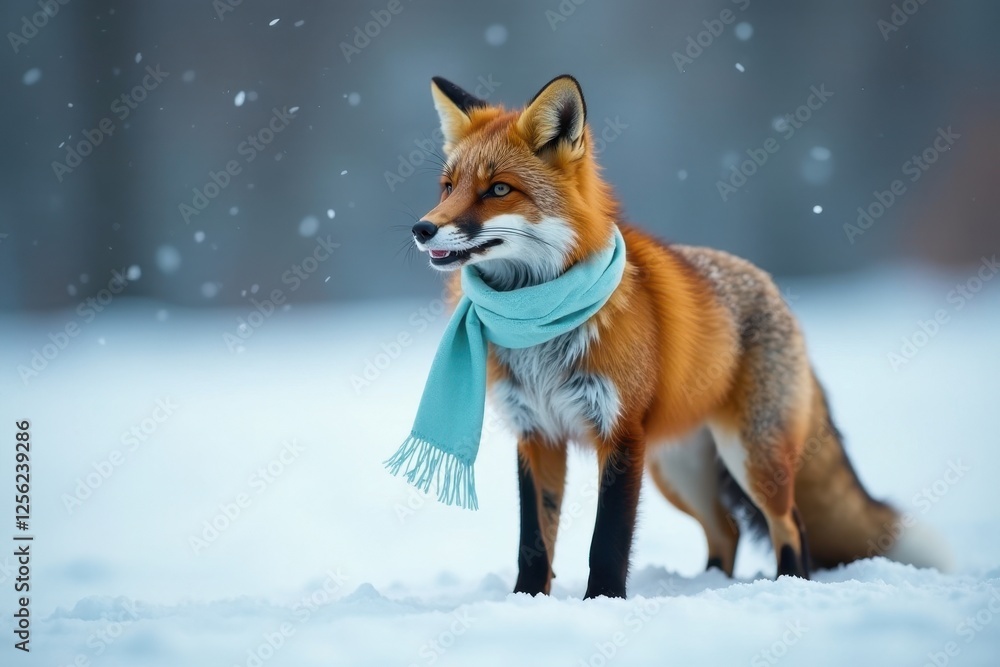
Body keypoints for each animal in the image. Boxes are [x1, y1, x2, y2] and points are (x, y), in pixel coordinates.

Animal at [409, 74, 950, 599]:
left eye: (498, 190)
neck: (539, 323)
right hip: (678, 471)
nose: (421, 228)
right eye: (447, 187)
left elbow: (607, 541)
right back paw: (709, 585)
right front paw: (526, 602)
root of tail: (774, 289)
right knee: (728, 529)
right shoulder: (537, 434)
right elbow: (534, 542)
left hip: (750, 457)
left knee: (790, 524)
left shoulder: (620, 433)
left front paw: (602, 603)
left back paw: (787, 586)